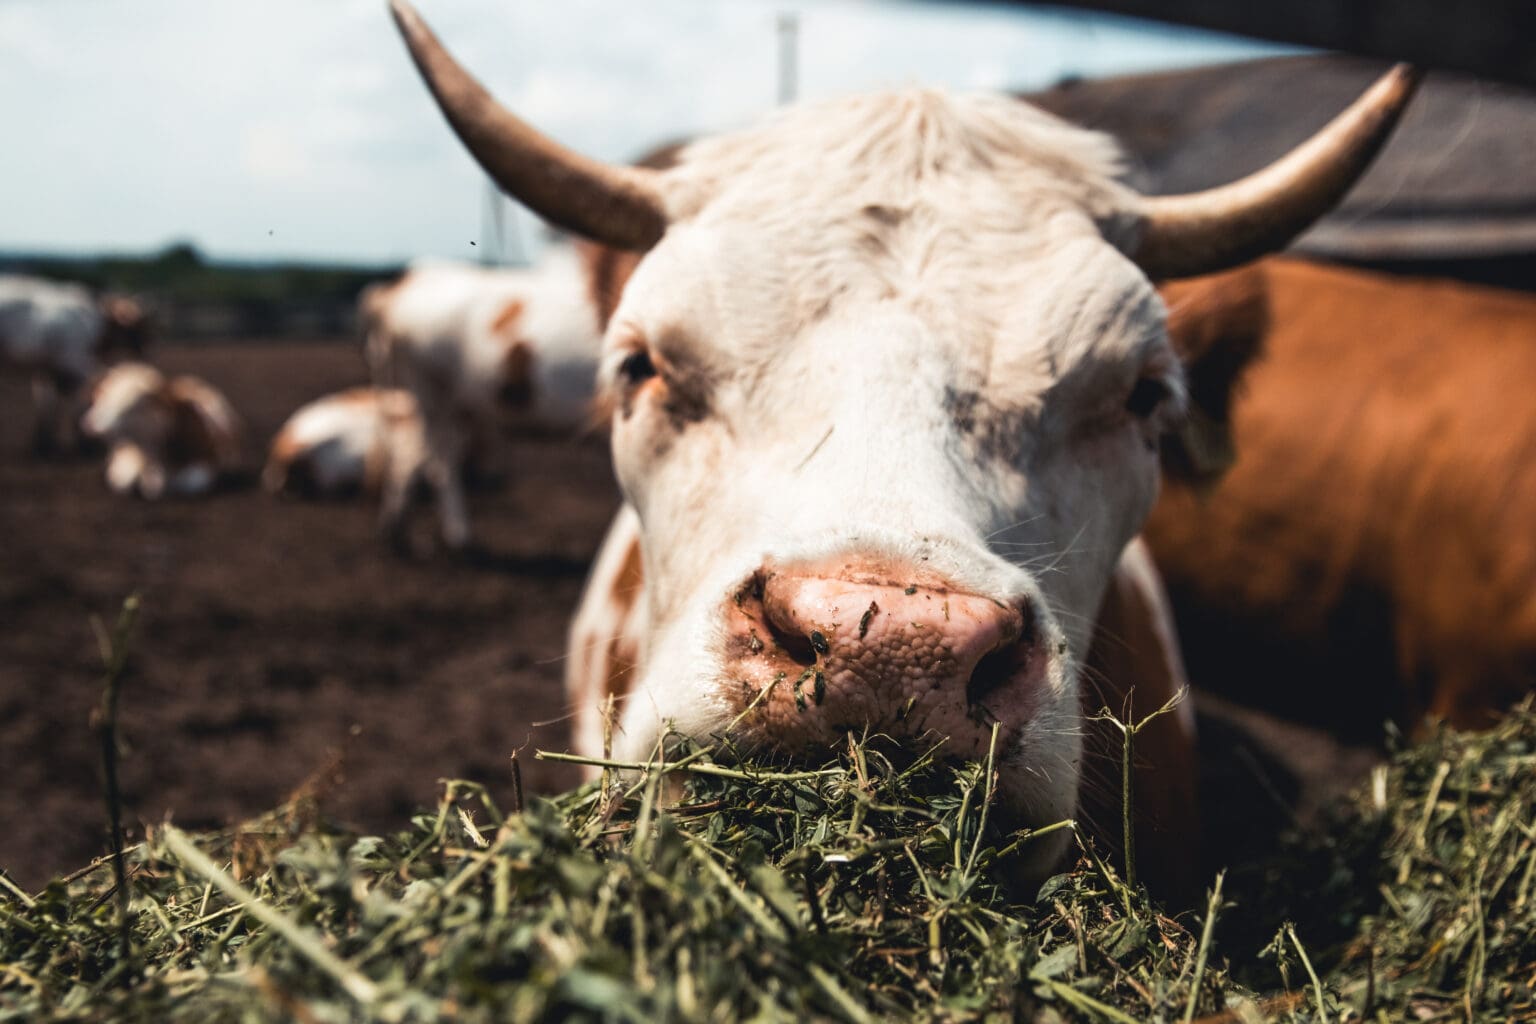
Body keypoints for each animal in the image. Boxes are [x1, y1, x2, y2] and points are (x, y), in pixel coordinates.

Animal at [0, 275, 151, 455]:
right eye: (138, 326)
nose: (145, 351)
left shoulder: (48, 369)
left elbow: (47, 403)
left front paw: (42, 444)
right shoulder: (77, 362)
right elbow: (81, 399)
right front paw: (86, 444)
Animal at [362, 247, 604, 551]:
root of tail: (409, 280)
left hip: (454, 401)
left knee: (412, 455)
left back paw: (396, 532)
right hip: (431, 388)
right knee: (441, 461)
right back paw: (457, 537)